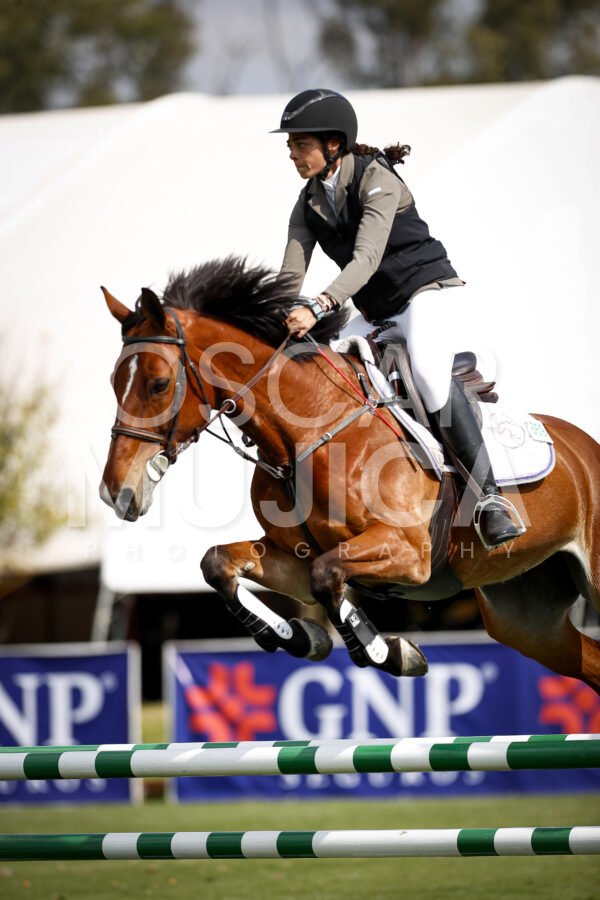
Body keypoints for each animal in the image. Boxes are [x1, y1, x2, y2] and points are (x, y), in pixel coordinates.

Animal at [100, 256, 600, 694]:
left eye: (159, 384)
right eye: (112, 382)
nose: (114, 494)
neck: (305, 435)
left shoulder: (409, 553)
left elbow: (327, 576)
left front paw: (389, 651)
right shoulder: (295, 558)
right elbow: (219, 563)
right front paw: (300, 637)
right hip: (525, 616)